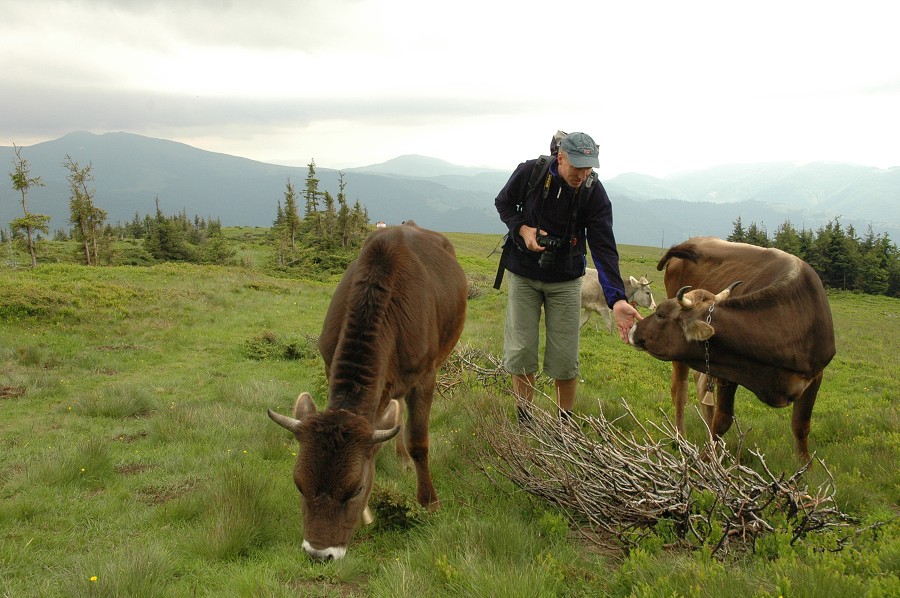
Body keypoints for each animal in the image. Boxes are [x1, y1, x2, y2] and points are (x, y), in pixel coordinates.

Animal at [266, 221, 464, 564]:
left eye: (355, 489)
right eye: (299, 484)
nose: (319, 553)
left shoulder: (425, 376)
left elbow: (418, 441)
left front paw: (429, 502)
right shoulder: (330, 361)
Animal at [628, 237, 832, 462]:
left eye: (660, 314)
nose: (633, 329)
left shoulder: (816, 376)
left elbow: (801, 427)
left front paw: (805, 468)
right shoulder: (728, 372)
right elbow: (723, 420)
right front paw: (706, 460)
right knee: (680, 392)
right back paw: (680, 440)